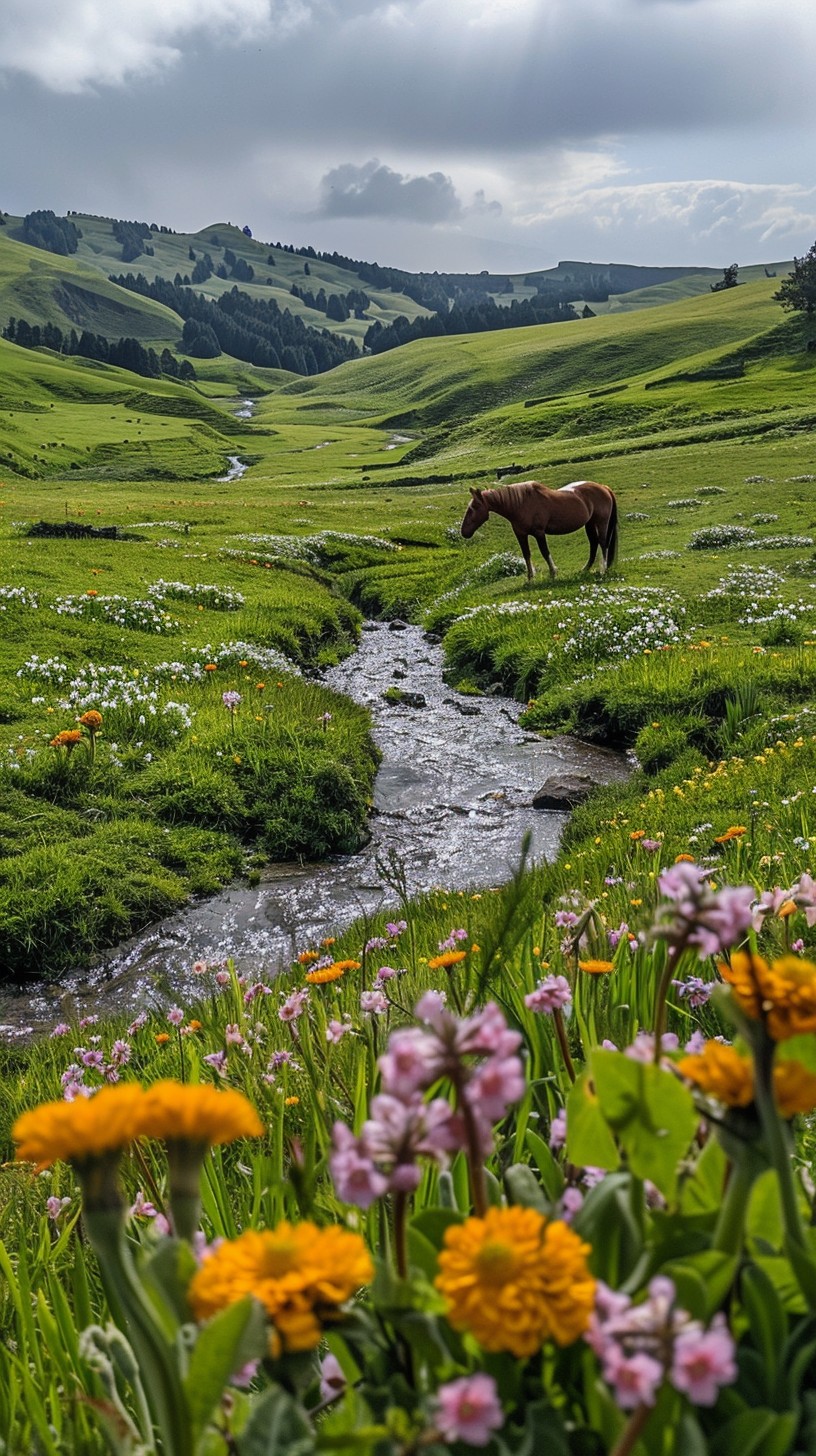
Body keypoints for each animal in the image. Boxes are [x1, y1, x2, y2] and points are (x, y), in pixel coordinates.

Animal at [460, 479, 618, 582]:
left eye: (474, 508)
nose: (464, 532)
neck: (520, 504)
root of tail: (604, 487)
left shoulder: (539, 533)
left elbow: (545, 552)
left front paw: (553, 573)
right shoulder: (521, 535)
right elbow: (526, 554)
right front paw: (530, 578)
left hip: (601, 523)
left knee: (603, 543)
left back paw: (603, 570)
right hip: (589, 524)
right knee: (594, 544)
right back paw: (585, 569)